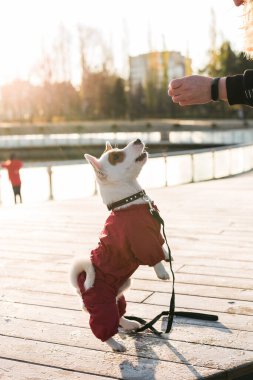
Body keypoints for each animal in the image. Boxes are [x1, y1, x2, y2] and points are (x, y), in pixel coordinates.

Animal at [69, 140, 170, 354]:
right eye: (117, 157)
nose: (138, 140)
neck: (130, 202)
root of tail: (79, 286)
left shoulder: (155, 235)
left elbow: (161, 247)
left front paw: (167, 255)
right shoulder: (143, 240)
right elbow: (153, 257)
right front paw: (162, 271)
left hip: (120, 293)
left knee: (120, 315)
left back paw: (130, 324)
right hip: (102, 305)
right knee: (103, 327)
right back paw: (115, 344)